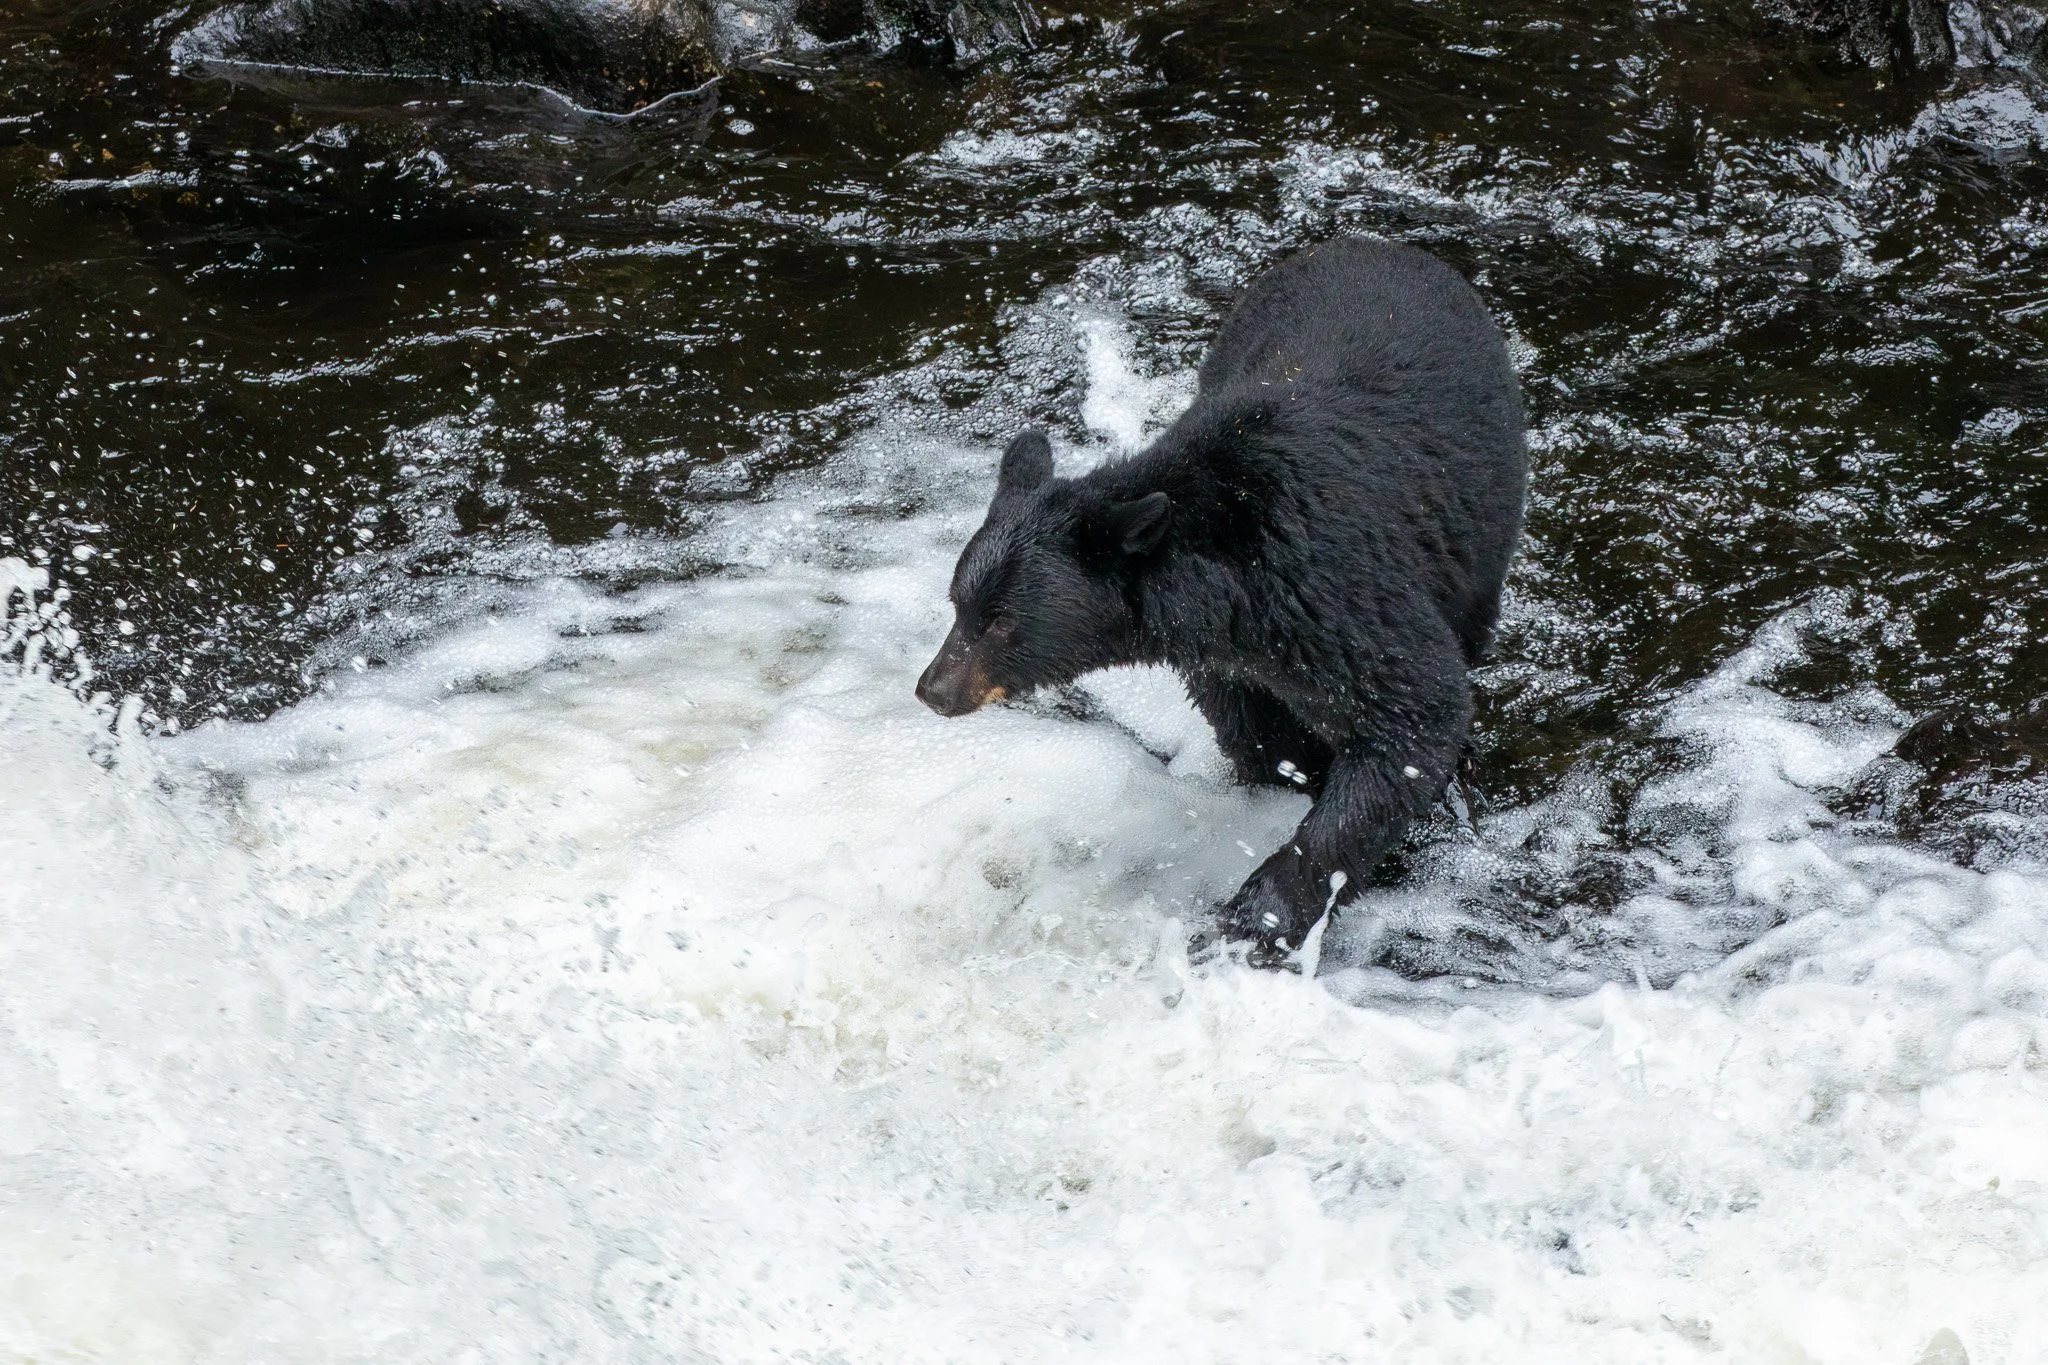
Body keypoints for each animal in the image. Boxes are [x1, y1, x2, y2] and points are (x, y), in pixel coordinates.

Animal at [916, 236, 1527, 966]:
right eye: (957, 604)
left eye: (1001, 622)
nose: (933, 688)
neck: (1236, 585)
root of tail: (1377, 244)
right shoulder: (1229, 659)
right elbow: (1257, 732)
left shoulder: (1341, 589)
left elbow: (1413, 717)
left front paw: (1257, 916)